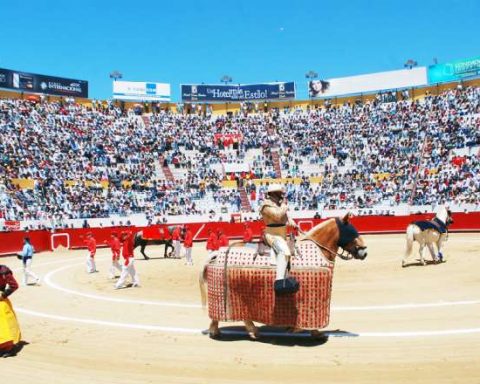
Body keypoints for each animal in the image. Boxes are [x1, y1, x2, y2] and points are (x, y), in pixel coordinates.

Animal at [199, 213, 368, 340]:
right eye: (351, 230)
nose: (364, 252)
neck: (318, 248)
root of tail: (218, 253)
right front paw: (311, 331)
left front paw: (313, 332)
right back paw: (217, 331)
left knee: (243, 315)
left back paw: (253, 332)